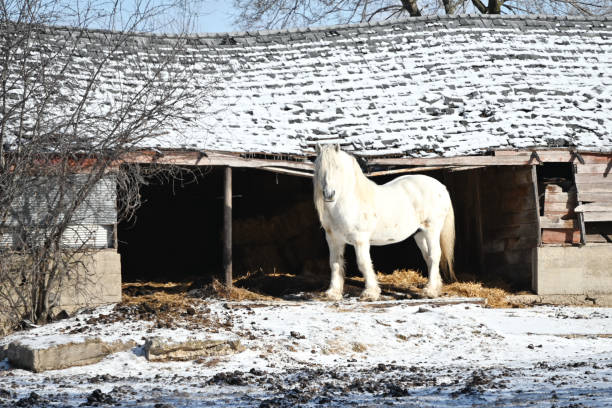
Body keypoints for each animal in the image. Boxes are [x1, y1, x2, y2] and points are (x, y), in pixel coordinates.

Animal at [316, 144, 454, 300]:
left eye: (338, 167)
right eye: (319, 168)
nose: (329, 194)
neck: (349, 202)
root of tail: (441, 187)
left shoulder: (360, 239)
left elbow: (363, 263)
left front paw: (370, 293)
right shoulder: (334, 240)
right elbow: (335, 263)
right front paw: (333, 293)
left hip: (432, 229)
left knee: (435, 255)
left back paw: (430, 291)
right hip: (419, 234)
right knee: (428, 258)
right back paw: (435, 288)